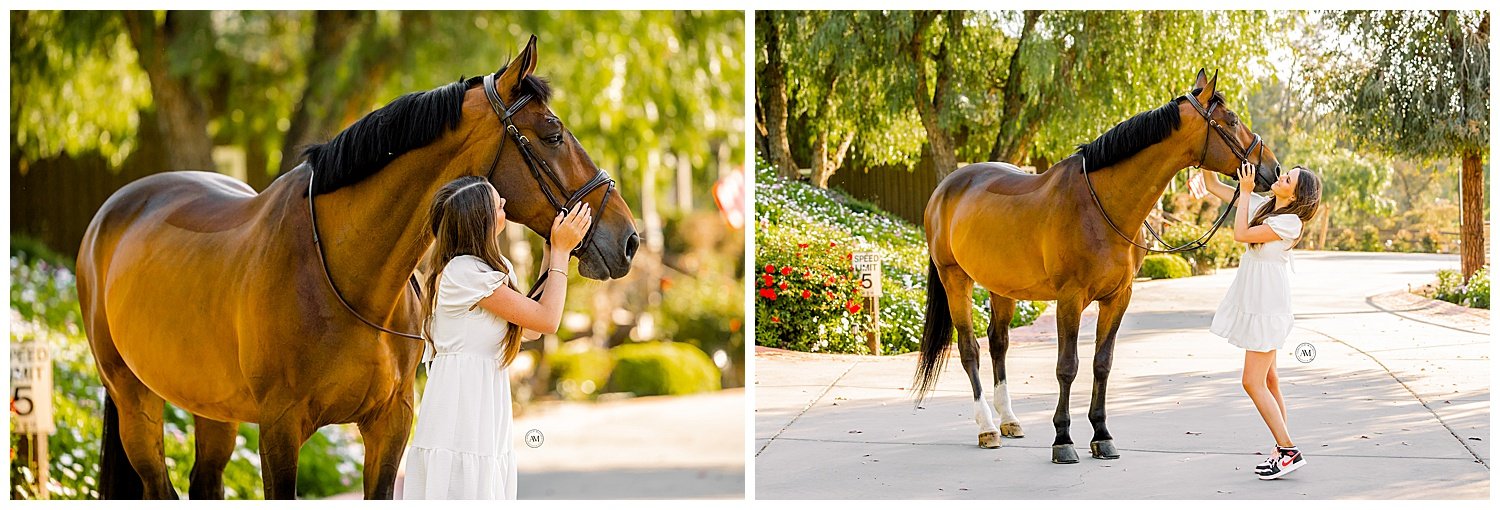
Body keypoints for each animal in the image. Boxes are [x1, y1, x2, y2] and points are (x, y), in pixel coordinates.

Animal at [77, 37, 639, 501]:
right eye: (553, 135)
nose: (629, 240)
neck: (352, 276)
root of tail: (114, 211)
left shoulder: (389, 426)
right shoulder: (279, 431)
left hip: (212, 409)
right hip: (134, 400)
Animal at [912, 69, 1278, 465]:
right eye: (1233, 120)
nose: (1273, 169)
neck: (1101, 203)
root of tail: (946, 188)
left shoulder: (1118, 297)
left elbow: (1102, 363)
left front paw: (1102, 435)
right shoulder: (1070, 299)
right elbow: (1067, 367)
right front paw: (1062, 439)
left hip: (1002, 287)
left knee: (999, 343)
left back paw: (1008, 420)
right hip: (955, 278)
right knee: (970, 349)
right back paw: (987, 427)